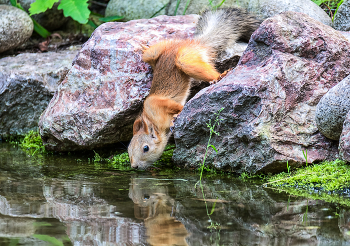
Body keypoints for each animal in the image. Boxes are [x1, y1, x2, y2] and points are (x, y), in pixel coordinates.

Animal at [128, 7, 260, 169]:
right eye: (128, 150)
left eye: (145, 148)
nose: (134, 166)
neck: (152, 121)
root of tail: (194, 42)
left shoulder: (155, 104)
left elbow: (175, 106)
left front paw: (177, 116)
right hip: (153, 55)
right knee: (152, 53)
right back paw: (145, 47)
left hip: (185, 59)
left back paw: (219, 76)